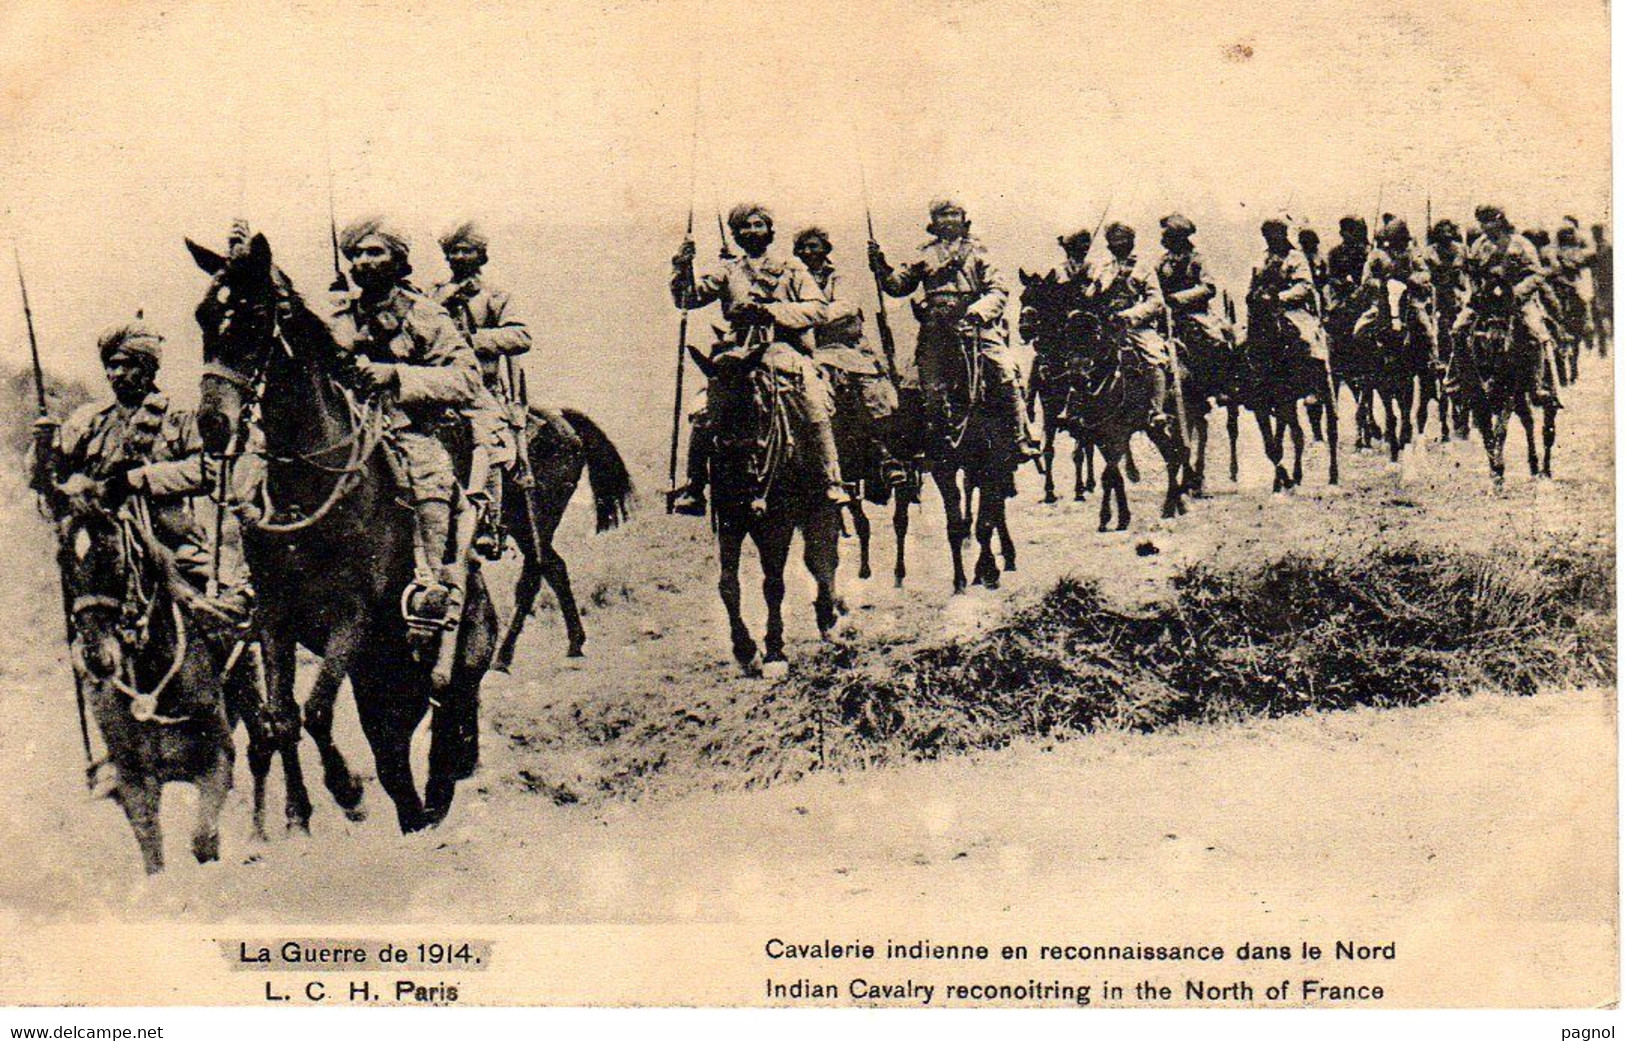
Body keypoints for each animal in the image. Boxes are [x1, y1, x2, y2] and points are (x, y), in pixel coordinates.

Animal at [56, 487, 276, 870]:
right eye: (63, 562)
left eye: (114, 555)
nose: (97, 656)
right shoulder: (135, 783)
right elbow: (153, 854)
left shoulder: (215, 762)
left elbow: (204, 840)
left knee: (260, 750)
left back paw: (258, 837)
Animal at [188, 230, 494, 831]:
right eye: (204, 317)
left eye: (255, 316)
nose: (212, 424)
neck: (308, 486)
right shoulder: (274, 616)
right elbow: (283, 716)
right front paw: (297, 814)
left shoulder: (351, 616)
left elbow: (315, 710)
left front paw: (347, 791)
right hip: (378, 679)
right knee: (393, 748)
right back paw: (414, 811)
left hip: (456, 651)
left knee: (452, 703)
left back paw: (447, 775)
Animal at [484, 402, 630, 669]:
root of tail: (561, 418)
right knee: (554, 568)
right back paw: (574, 642)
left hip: (531, 525)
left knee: (536, 575)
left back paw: (503, 655)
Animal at [689, 332, 838, 675]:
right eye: (711, 403)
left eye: (755, 404)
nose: (742, 473)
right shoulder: (730, 521)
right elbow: (728, 585)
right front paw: (744, 649)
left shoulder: (777, 526)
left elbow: (773, 584)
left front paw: (774, 651)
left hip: (822, 501)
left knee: (823, 556)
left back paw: (830, 618)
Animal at [1456, 306, 1553, 490]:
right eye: (1484, 343)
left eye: (1503, 344)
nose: (1492, 382)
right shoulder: (1478, 402)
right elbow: (1487, 434)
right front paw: (1495, 473)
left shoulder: (1508, 397)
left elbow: (1500, 431)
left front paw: (1499, 470)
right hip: (1519, 398)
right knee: (1528, 421)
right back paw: (1534, 466)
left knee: (1544, 421)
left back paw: (1545, 470)